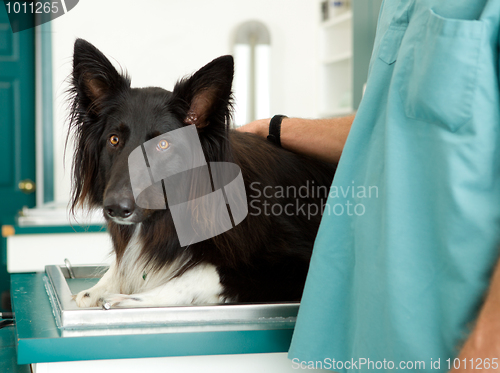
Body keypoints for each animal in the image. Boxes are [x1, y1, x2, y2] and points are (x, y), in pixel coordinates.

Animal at [69, 39, 336, 306]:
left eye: (163, 145)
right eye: (114, 140)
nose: (116, 208)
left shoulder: (296, 261)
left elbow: (202, 273)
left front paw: (133, 299)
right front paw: (97, 289)